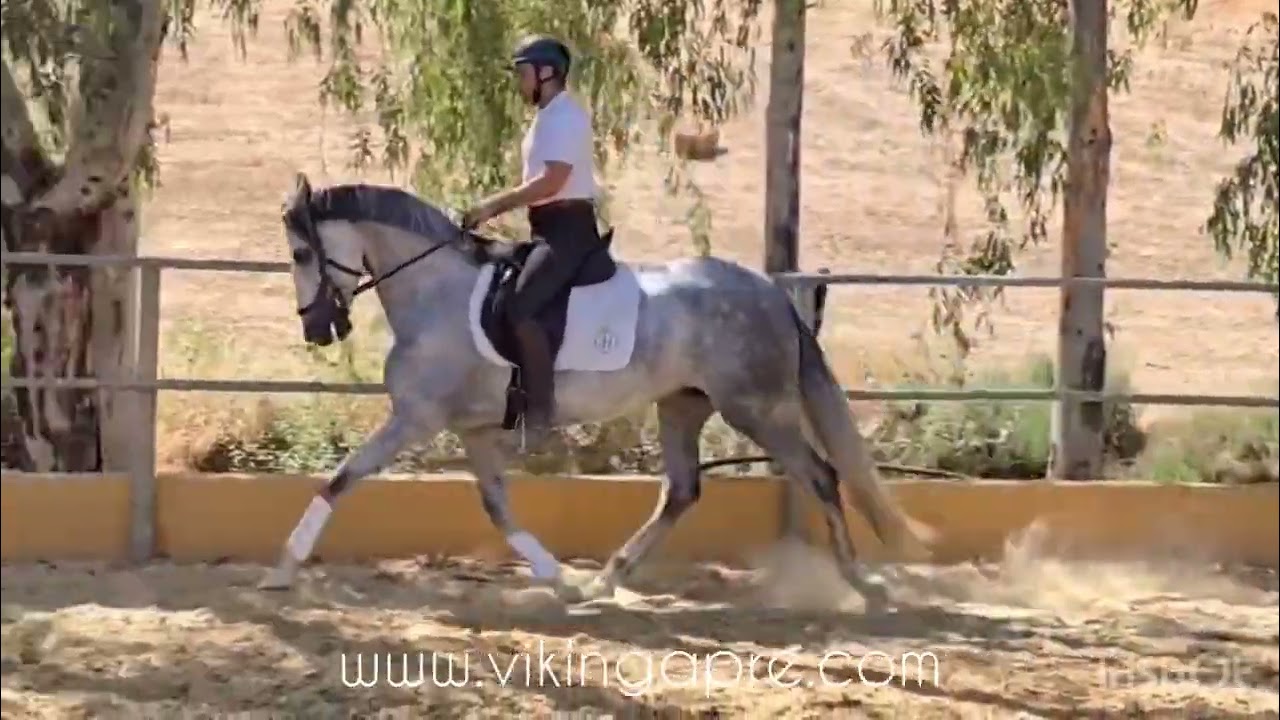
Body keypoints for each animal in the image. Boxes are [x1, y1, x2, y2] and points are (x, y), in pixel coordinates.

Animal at [259, 172, 937, 607]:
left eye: (300, 253)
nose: (319, 329)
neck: (436, 295)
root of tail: (770, 292)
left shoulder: (417, 417)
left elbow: (341, 478)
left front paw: (283, 570)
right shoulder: (472, 429)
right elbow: (497, 507)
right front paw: (558, 578)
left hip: (757, 408)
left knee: (821, 476)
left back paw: (863, 584)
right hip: (682, 405)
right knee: (682, 492)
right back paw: (604, 580)